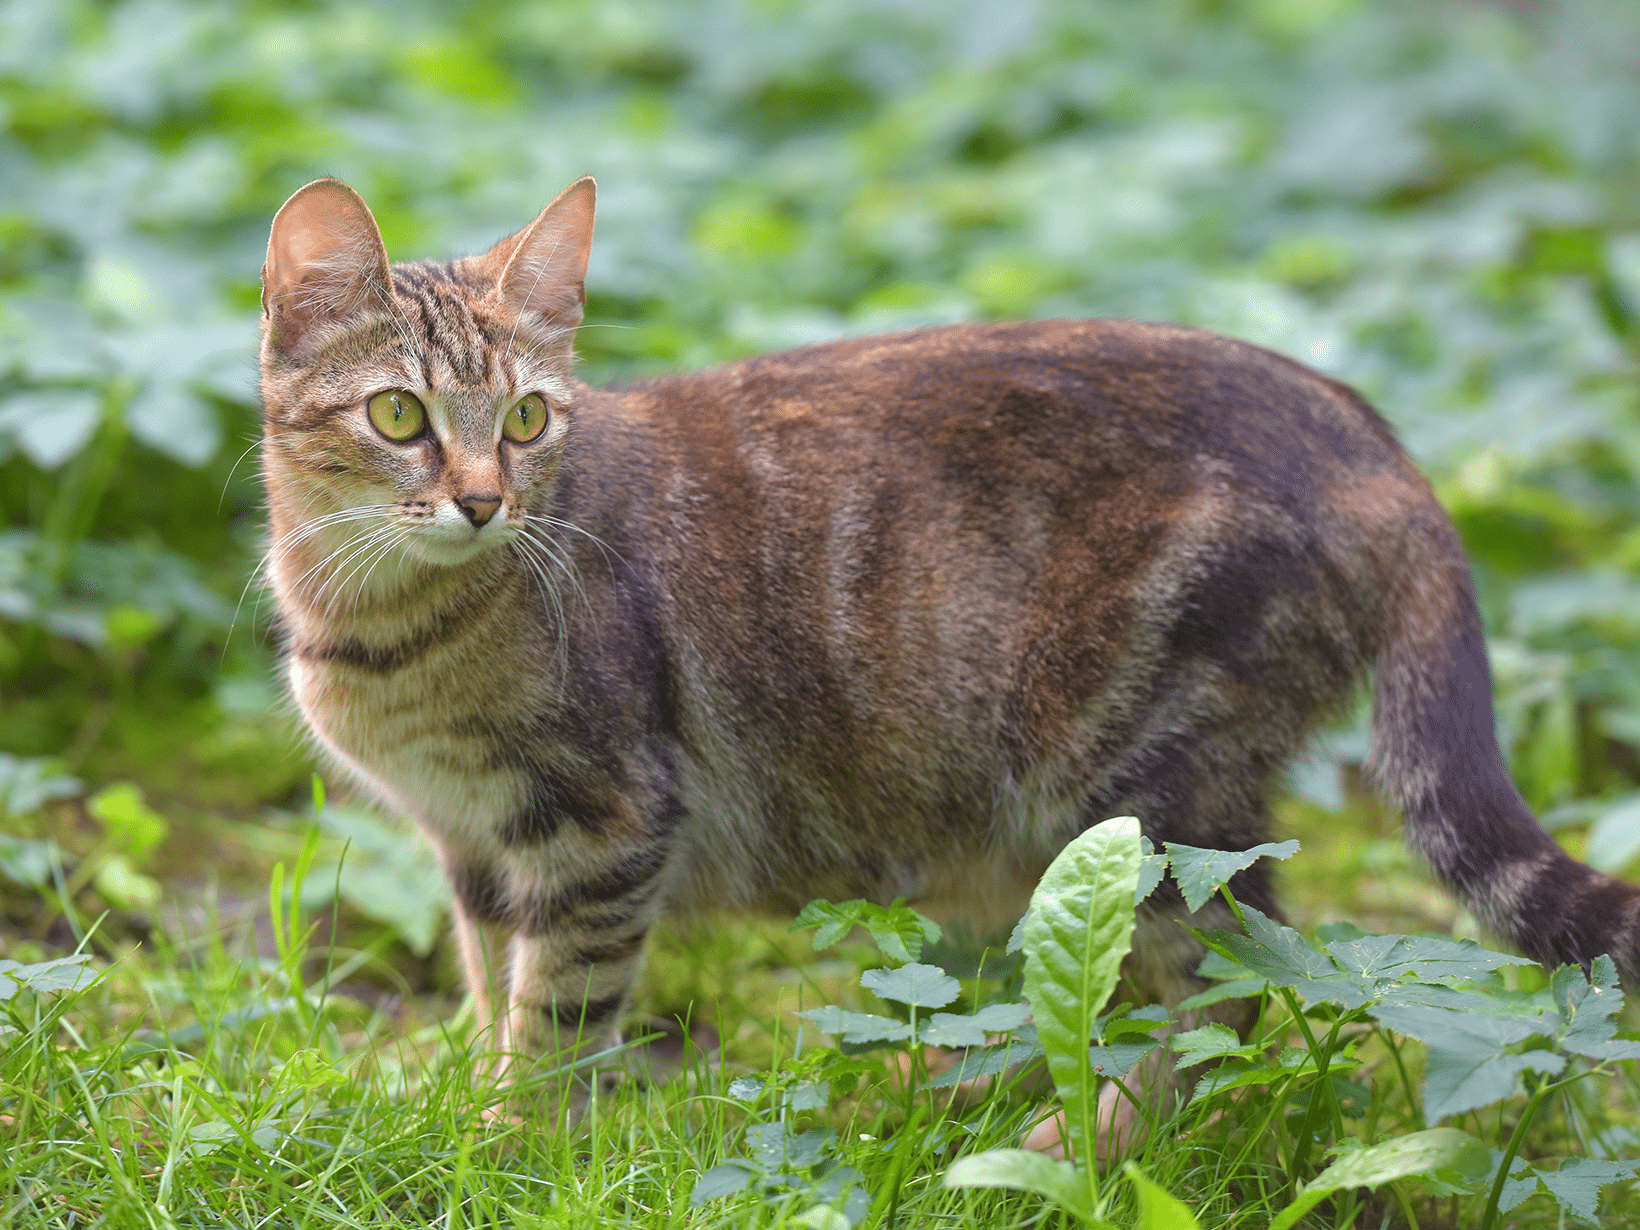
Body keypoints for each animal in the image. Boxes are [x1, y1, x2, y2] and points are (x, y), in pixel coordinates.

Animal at [252, 175, 1640, 1128]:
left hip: (1144, 791)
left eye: (529, 419)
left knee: (1225, 1003)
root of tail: (1368, 436)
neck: (373, 633)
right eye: (400, 416)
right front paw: (460, 1102)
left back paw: (1070, 1143)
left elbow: (556, 1017)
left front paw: (507, 1146)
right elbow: (492, 983)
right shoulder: (472, 847)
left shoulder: (599, 823)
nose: (486, 500)